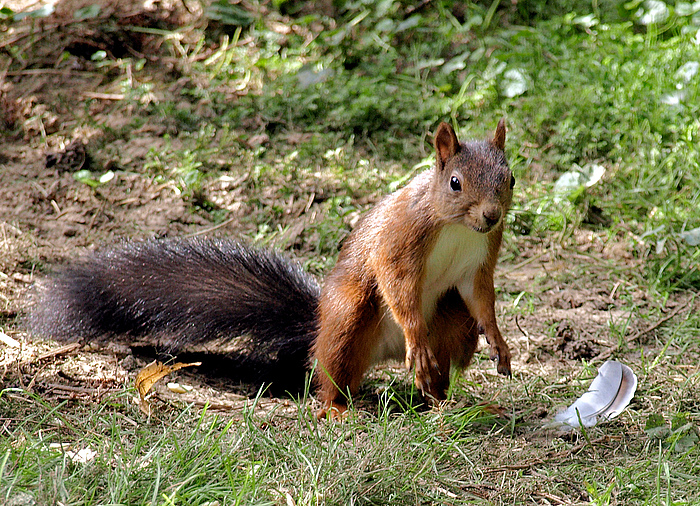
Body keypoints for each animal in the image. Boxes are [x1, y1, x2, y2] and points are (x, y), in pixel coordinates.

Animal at [30, 119, 516, 420]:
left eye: (509, 179)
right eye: (455, 183)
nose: (491, 216)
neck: (457, 227)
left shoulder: (479, 262)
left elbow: (481, 298)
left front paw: (500, 342)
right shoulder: (401, 242)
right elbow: (398, 286)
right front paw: (415, 332)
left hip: (452, 324)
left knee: (438, 368)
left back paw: (452, 405)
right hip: (350, 315)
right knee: (331, 373)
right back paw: (339, 407)